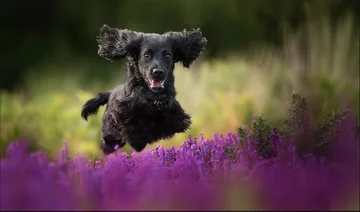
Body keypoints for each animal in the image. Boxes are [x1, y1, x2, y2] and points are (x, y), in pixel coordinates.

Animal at [80, 24, 207, 155]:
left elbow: (170, 111)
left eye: (168, 56)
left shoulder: (175, 117)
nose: (158, 72)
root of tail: (110, 93)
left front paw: (162, 102)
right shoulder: (124, 112)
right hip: (110, 134)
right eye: (146, 55)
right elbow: (138, 95)